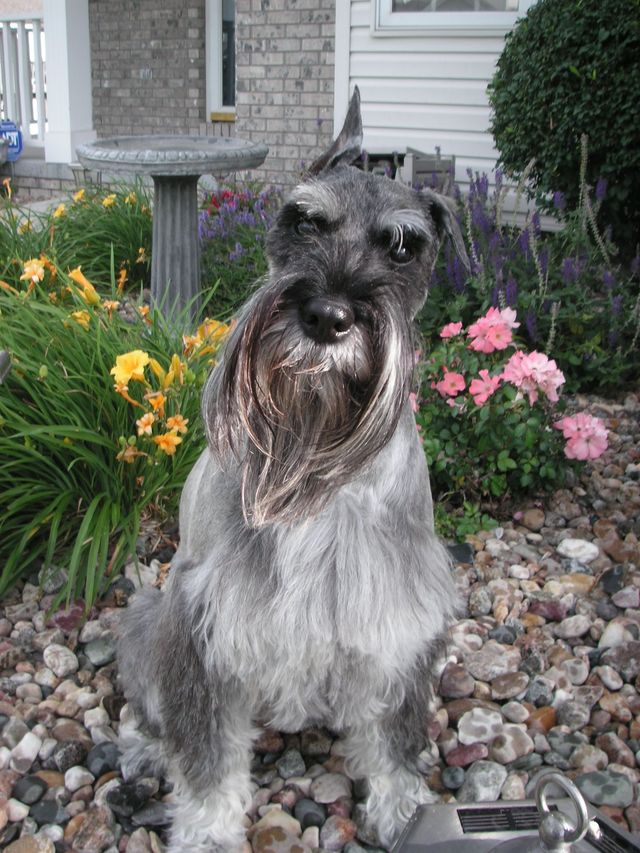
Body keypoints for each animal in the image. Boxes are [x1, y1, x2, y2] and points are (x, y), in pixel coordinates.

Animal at [117, 88, 468, 852]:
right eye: (304, 219)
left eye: (404, 246)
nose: (328, 315)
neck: (316, 454)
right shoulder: (203, 623)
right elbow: (207, 754)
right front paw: (206, 831)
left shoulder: (398, 619)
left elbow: (396, 736)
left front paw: (401, 811)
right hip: (150, 619)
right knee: (153, 706)